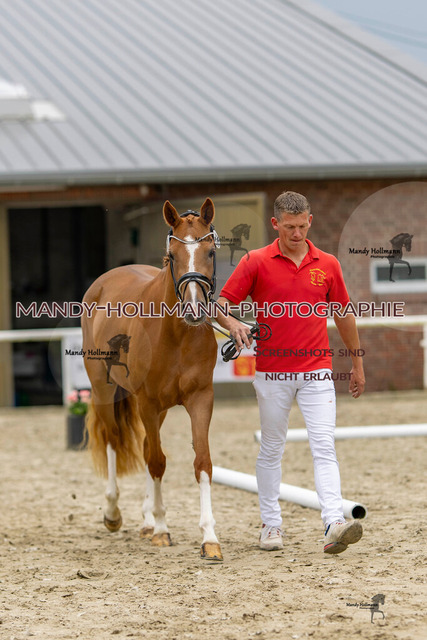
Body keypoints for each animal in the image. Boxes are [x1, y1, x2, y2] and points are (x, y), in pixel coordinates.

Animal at [81, 198, 222, 561]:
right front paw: (161, 529)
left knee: (146, 445)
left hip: (156, 410)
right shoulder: (146, 400)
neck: (175, 335)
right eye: (172, 255)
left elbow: (202, 461)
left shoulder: (200, 399)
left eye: (211, 252)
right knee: (114, 440)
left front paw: (209, 538)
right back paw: (114, 514)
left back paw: (145, 520)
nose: (194, 310)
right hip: (105, 392)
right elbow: (157, 462)